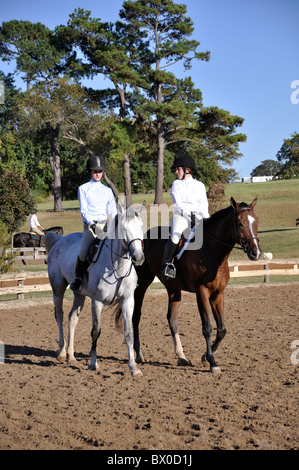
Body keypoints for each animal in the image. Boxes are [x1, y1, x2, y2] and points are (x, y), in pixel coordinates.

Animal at [44, 204, 146, 376]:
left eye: (141, 226)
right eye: (124, 228)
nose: (138, 257)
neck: (116, 267)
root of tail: (60, 240)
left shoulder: (127, 301)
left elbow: (129, 333)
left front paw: (134, 367)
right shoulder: (97, 302)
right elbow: (95, 331)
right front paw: (93, 363)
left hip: (79, 294)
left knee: (72, 319)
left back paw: (71, 357)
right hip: (57, 288)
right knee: (59, 315)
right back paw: (62, 352)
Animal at [134, 198, 262, 374]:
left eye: (256, 222)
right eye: (240, 223)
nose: (255, 253)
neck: (212, 253)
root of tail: (144, 237)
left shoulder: (218, 294)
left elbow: (221, 330)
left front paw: (205, 357)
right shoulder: (202, 293)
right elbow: (207, 328)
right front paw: (213, 363)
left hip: (173, 289)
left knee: (172, 318)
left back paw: (181, 356)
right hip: (142, 283)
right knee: (136, 315)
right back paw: (139, 355)